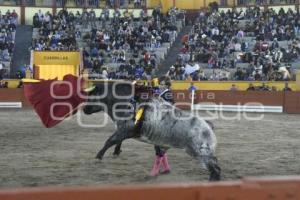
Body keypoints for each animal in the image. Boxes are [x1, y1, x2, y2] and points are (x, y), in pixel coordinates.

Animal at [83, 81, 221, 181]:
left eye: (91, 96)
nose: (84, 109)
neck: (126, 101)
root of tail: (208, 125)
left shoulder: (126, 129)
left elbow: (110, 141)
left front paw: (98, 157)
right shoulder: (123, 130)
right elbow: (117, 141)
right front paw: (116, 152)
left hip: (201, 152)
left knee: (215, 168)